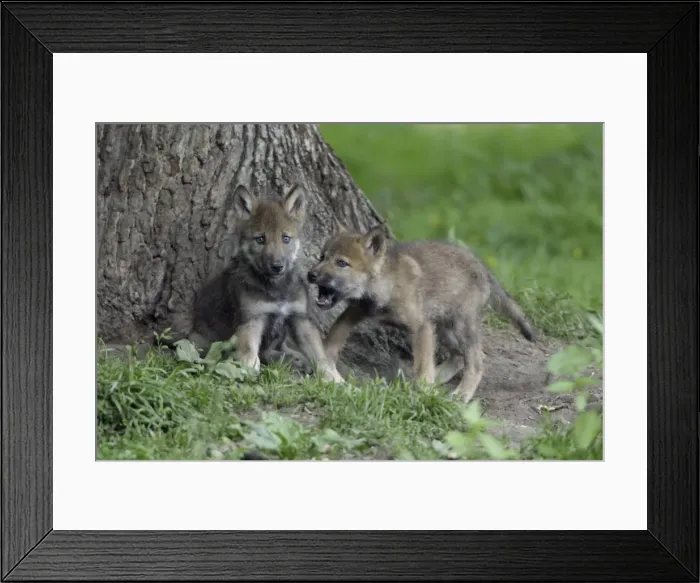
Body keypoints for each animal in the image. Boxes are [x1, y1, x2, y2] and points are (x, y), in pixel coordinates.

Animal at [306, 226, 535, 402]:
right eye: (322, 257)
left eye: (341, 263)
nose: (311, 274)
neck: (387, 282)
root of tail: (484, 269)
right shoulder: (356, 311)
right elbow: (334, 335)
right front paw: (323, 359)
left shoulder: (420, 326)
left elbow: (423, 365)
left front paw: (424, 391)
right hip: (443, 328)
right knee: (459, 356)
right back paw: (438, 378)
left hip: (460, 325)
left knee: (477, 361)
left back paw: (461, 395)